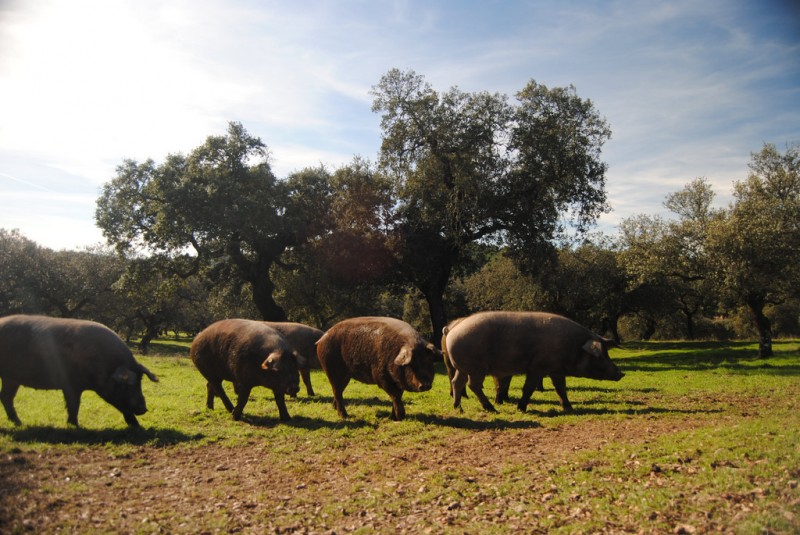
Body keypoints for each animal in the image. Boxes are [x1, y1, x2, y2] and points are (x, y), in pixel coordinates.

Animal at [446, 312, 620, 412]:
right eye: (600, 356)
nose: (621, 373)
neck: (573, 346)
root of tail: (452, 331)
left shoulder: (556, 370)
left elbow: (561, 388)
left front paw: (569, 408)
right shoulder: (538, 367)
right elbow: (528, 387)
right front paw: (521, 408)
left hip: (462, 367)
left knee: (457, 382)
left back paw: (458, 408)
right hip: (477, 367)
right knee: (472, 385)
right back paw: (492, 409)